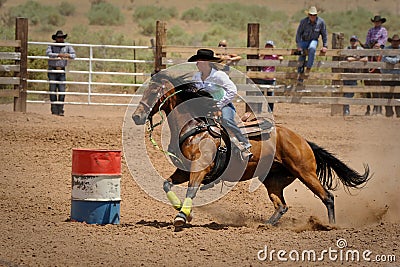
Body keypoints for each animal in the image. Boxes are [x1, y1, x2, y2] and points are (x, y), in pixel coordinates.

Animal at [132, 70, 372, 229]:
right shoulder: (184, 170)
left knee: (327, 197)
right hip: (273, 180)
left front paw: (182, 217)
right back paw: (266, 225)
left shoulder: (200, 169)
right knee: (282, 206)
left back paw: (332, 227)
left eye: (154, 90)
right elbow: (166, 184)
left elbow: (191, 190)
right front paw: (184, 212)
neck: (195, 127)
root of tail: (302, 140)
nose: (136, 116)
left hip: (305, 172)